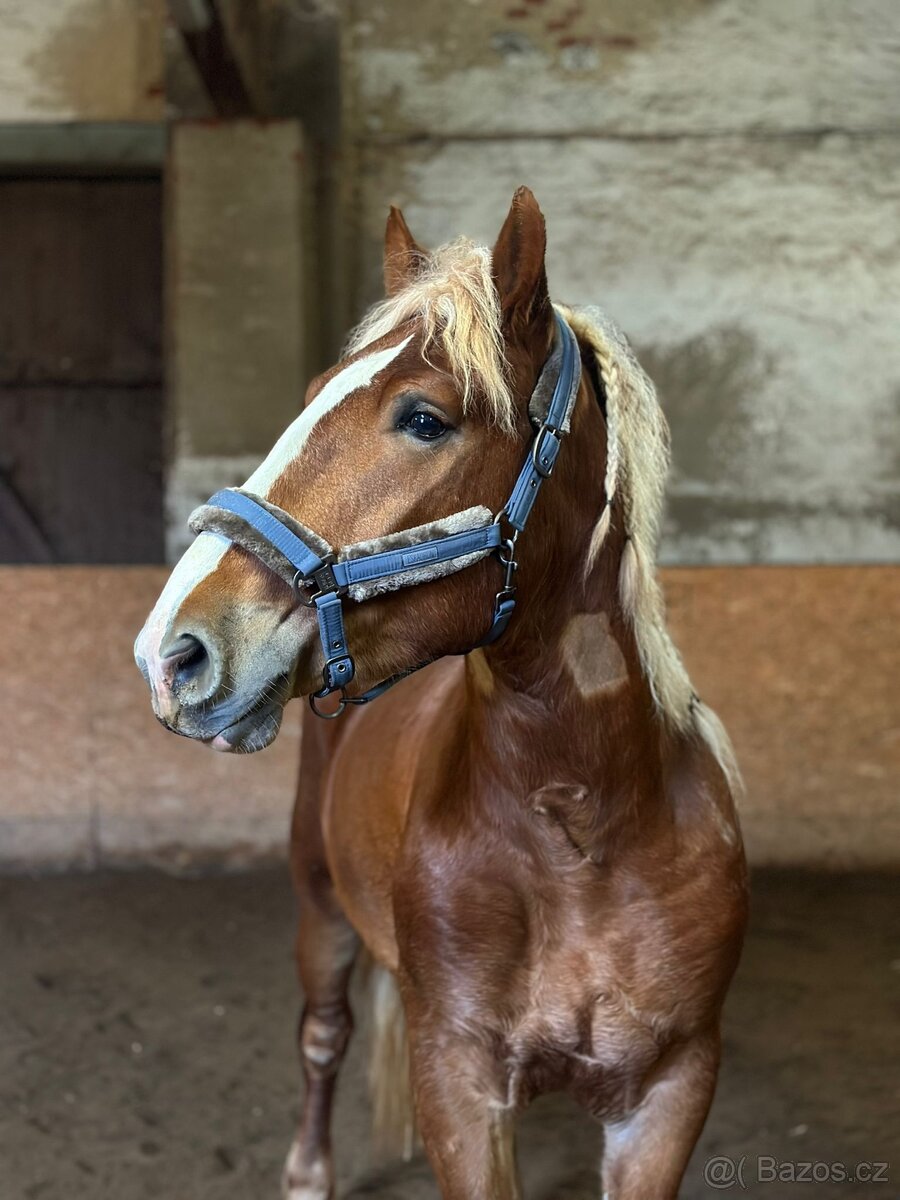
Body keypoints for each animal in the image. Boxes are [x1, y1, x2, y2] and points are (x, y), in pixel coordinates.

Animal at [137, 189, 748, 1200]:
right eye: (313, 392)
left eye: (424, 419)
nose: (171, 651)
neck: (580, 826)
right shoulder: (458, 1080)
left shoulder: (671, 1092)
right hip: (320, 909)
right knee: (322, 1038)